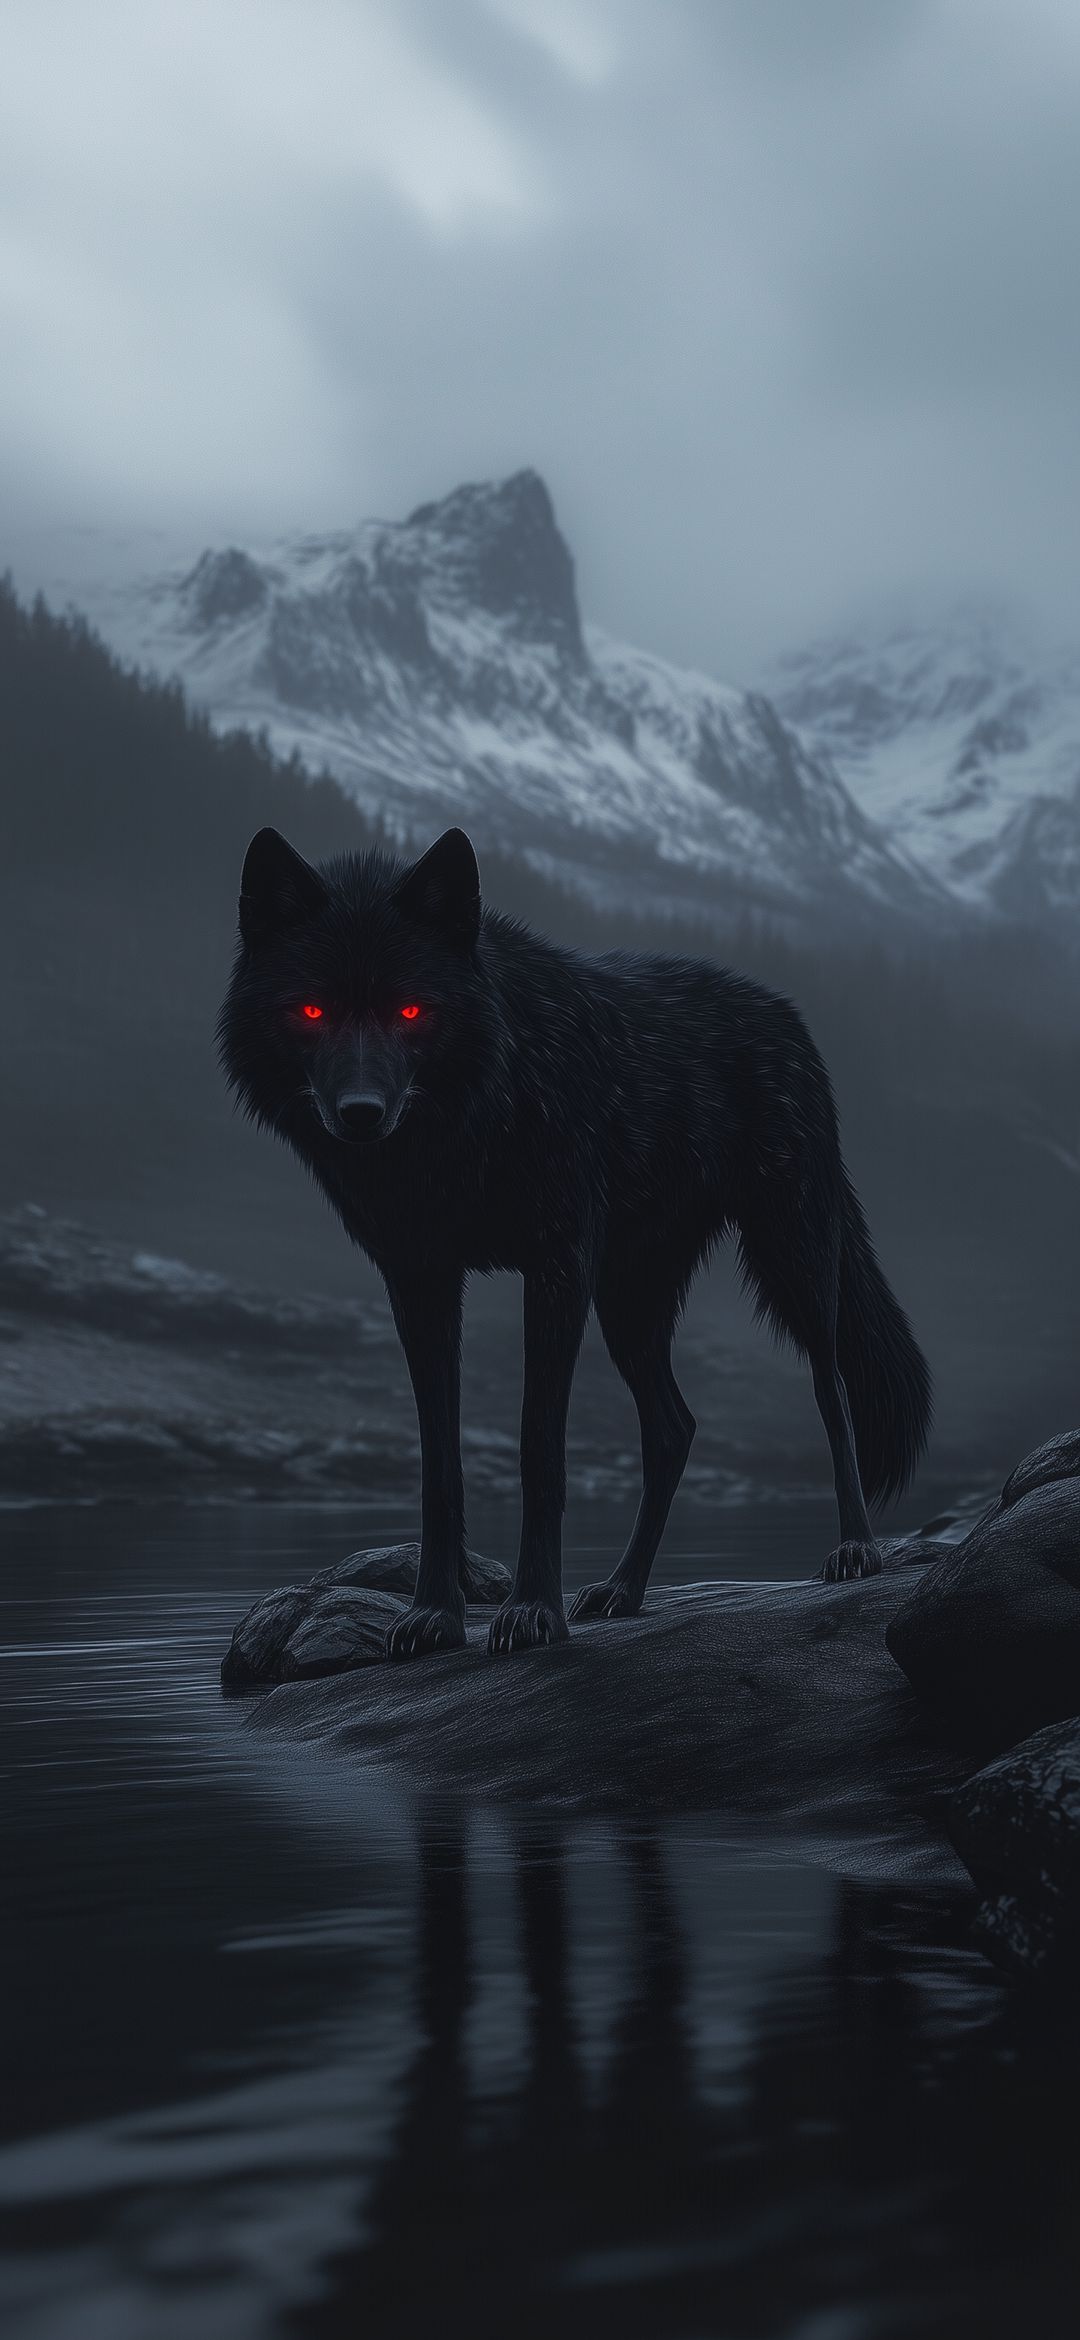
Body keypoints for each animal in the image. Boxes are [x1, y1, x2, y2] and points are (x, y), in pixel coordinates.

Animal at [218, 825, 931, 1658]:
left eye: (411, 1009)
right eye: (311, 1008)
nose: (360, 1113)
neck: (468, 1126)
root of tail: (785, 1009)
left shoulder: (556, 1265)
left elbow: (539, 1452)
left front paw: (532, 1611)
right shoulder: (420, 1280)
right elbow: (438, 1464)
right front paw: (435, 1615)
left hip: (791, 1255)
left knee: (832, 1385)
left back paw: (855, 1549)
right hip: (630, 1302)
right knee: (675, 1429)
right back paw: (622, 1590)